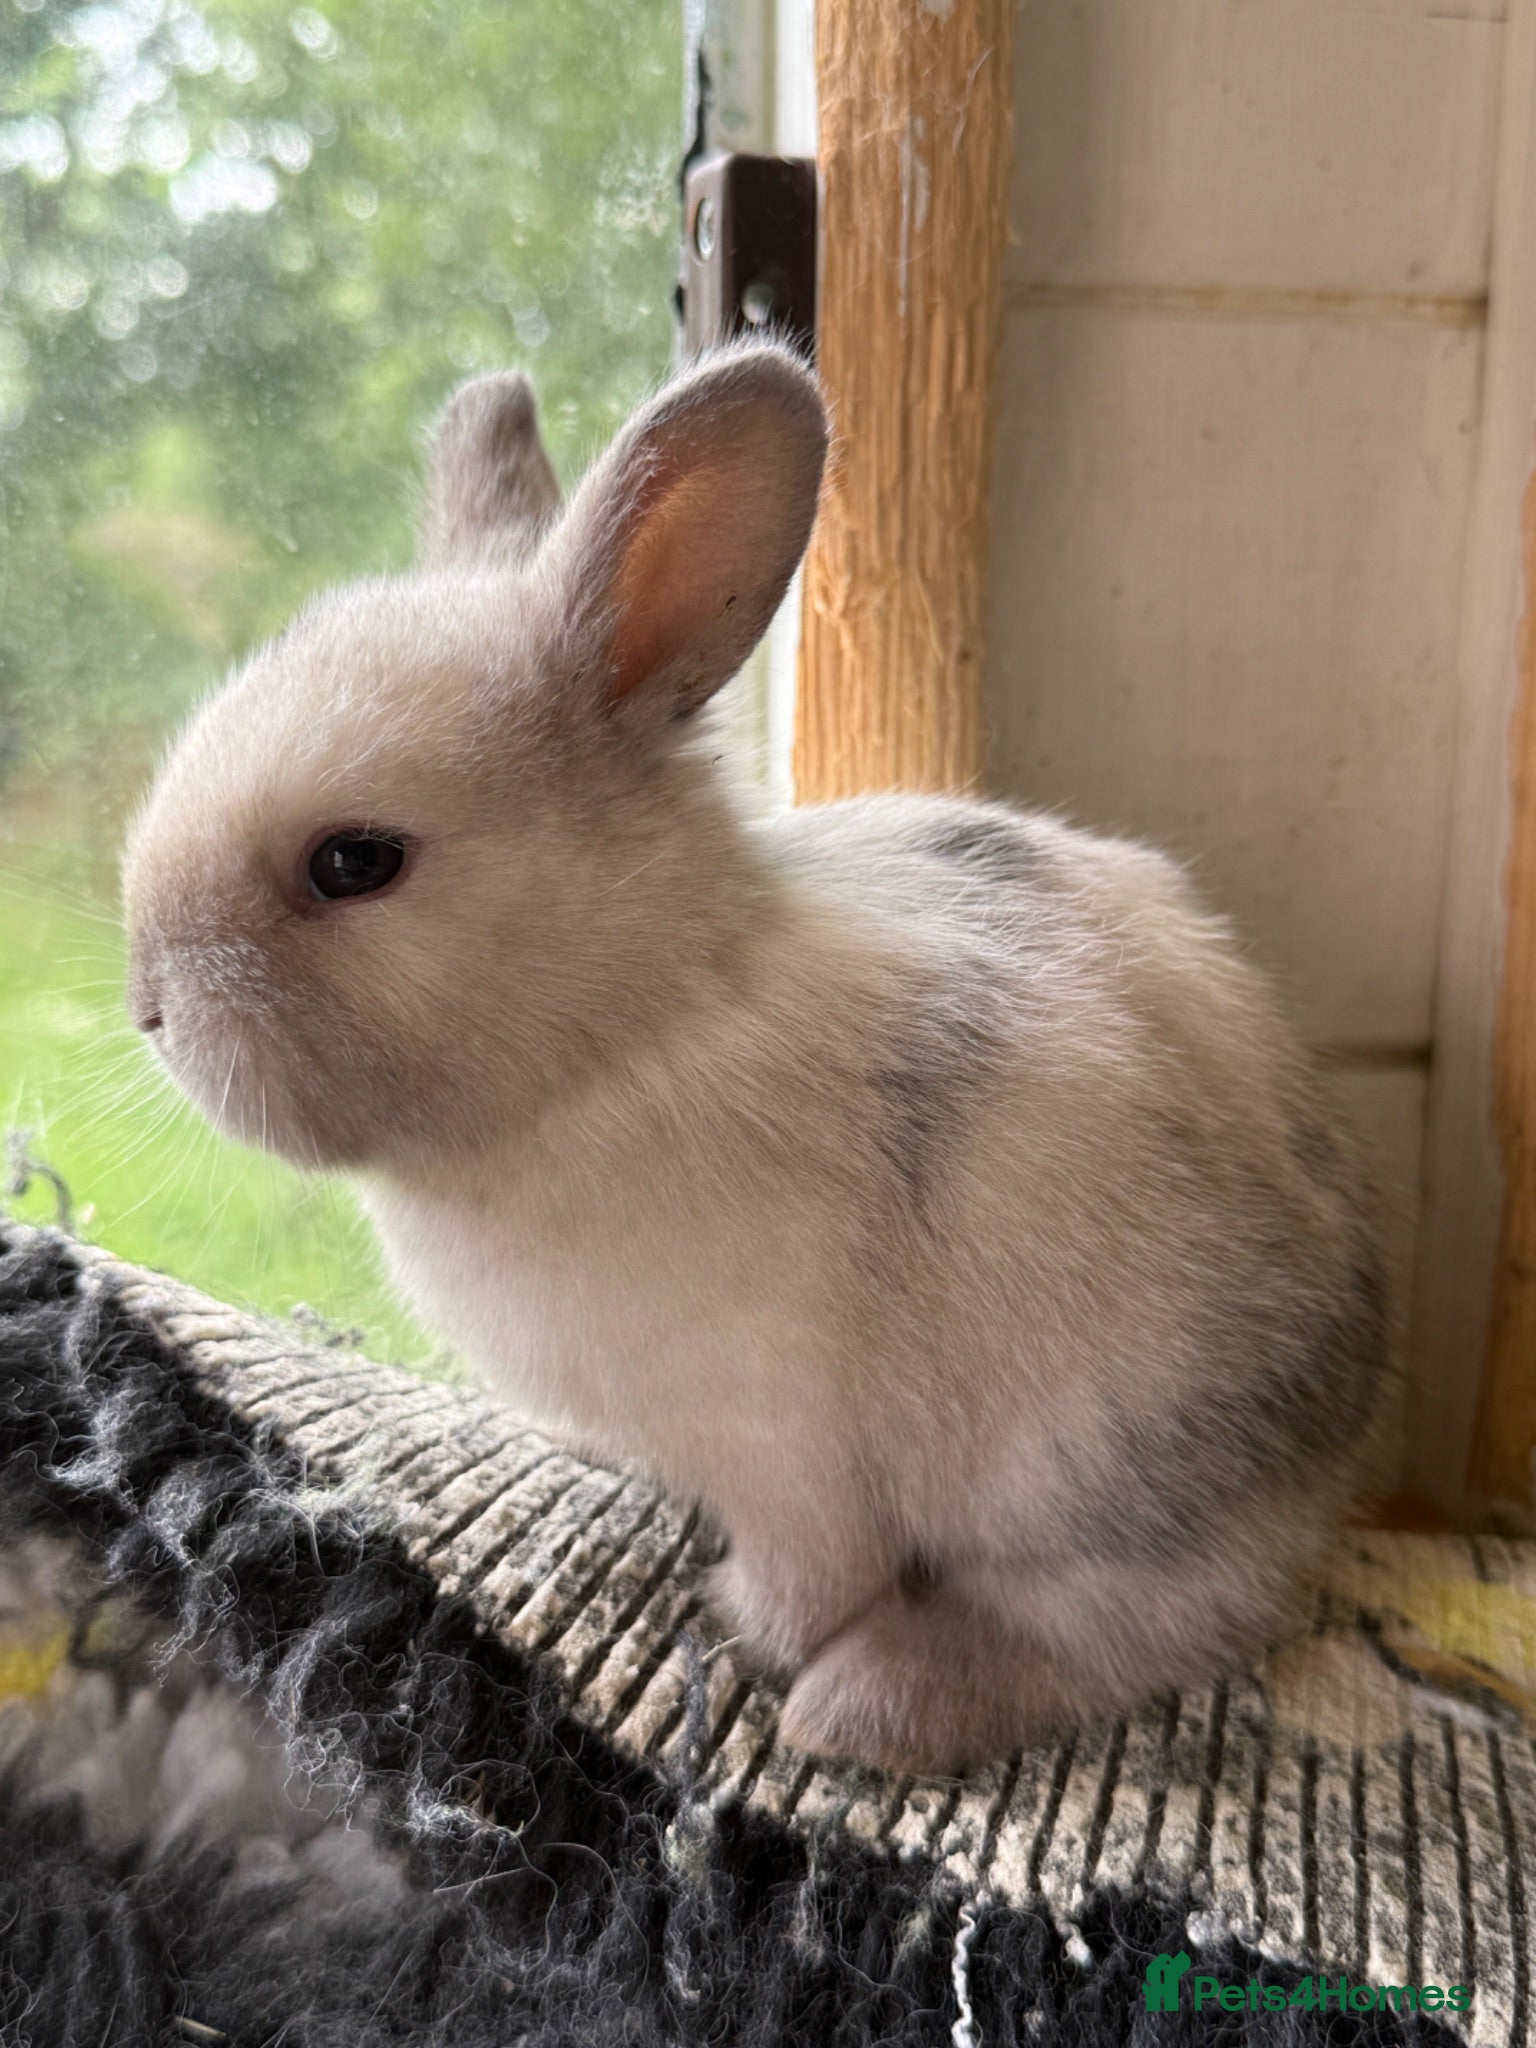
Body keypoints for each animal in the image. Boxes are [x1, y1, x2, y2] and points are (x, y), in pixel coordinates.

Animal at [122, 341, 1385, 1776]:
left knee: (1147, 1625)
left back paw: (868, 1701)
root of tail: (1334, 1448)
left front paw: (731, 1631)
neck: (631, 1029)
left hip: (1088, 1467)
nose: (148, 1001)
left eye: (354, 862)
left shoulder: (789, 1450)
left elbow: (808, 1570)